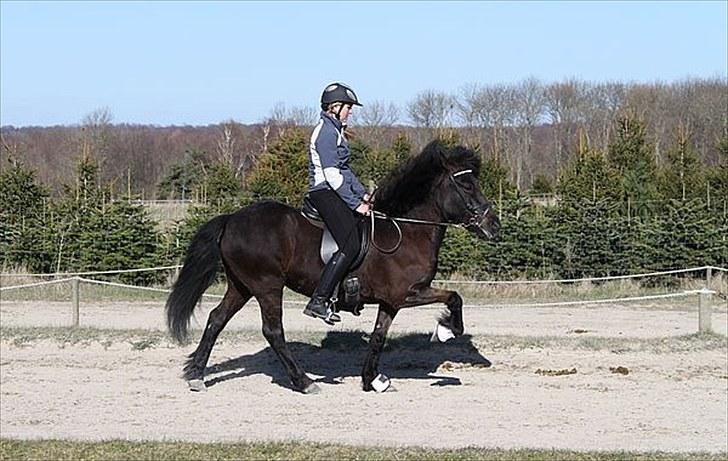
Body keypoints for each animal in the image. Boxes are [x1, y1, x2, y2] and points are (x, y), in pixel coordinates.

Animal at [165, 139, 500, 392]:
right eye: (466, 185)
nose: (493, 225)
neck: (406, 229)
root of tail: (232, 219)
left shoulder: (390, 302)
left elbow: (378, 336)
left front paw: (372, 380)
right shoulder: (408, 293)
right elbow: (454, 297)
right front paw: (445, 331)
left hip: (241, 285)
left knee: (216, 319)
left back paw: (196, 374)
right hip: (267, 286)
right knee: (272, 331)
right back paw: (303, 381)